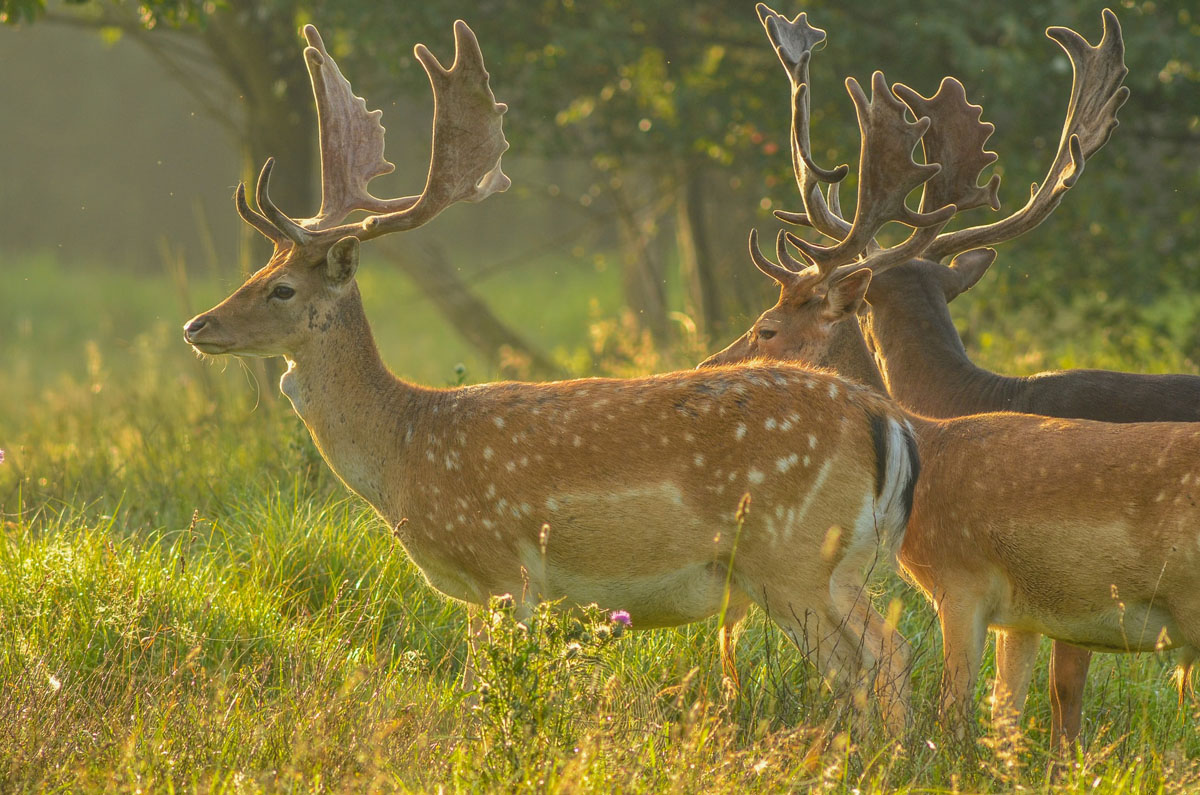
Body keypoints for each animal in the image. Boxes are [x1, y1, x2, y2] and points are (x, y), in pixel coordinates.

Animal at [182, 18, 921, 730]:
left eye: (280, 289)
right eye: (259, 270)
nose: (198, 326)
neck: (403, 449)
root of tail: (885, 418)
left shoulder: (502, 570)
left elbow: (483, 695)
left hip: (792, 557)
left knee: (879, 657)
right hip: (836, 565)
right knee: (882, 658)